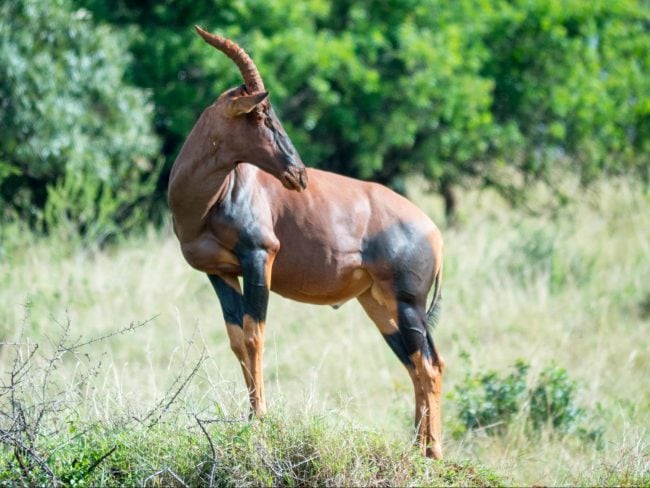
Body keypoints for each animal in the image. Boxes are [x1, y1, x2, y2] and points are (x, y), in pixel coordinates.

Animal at [166, 26, 446, 460]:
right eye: (261, 114)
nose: (298, 175)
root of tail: (434, 232)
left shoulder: (259, 257)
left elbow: (254, 335)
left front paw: (260, 420)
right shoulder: (219, 272)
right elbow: (236, 340)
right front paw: (249, 417)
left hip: (408, 303)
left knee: (429, 366)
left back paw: (432, 452)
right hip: (379, 305)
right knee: (417, 363)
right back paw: (417, 447)